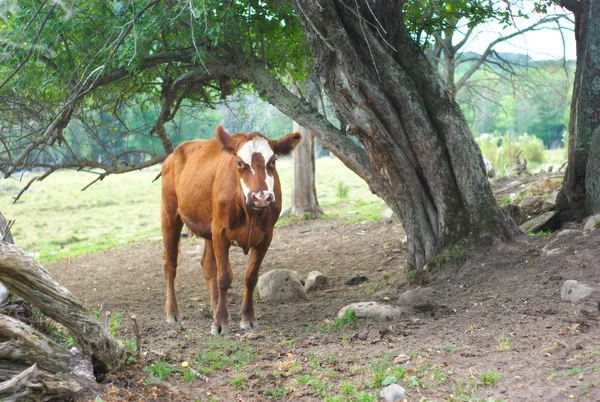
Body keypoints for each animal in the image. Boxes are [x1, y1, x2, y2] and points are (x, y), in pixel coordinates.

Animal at [159, 124, 300, 334]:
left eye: (273, 161)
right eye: (240, 163)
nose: (261, 197)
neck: (250, 214)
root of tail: (173, 154)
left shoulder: (266, 235)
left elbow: (250, 277)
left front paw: (247, 317)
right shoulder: (220, 232)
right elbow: (224, 277)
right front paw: (220, 323)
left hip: (207, 229)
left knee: (208, 265)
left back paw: (215, 306)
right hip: (169, 215)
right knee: (170, 264)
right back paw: (172, 312)